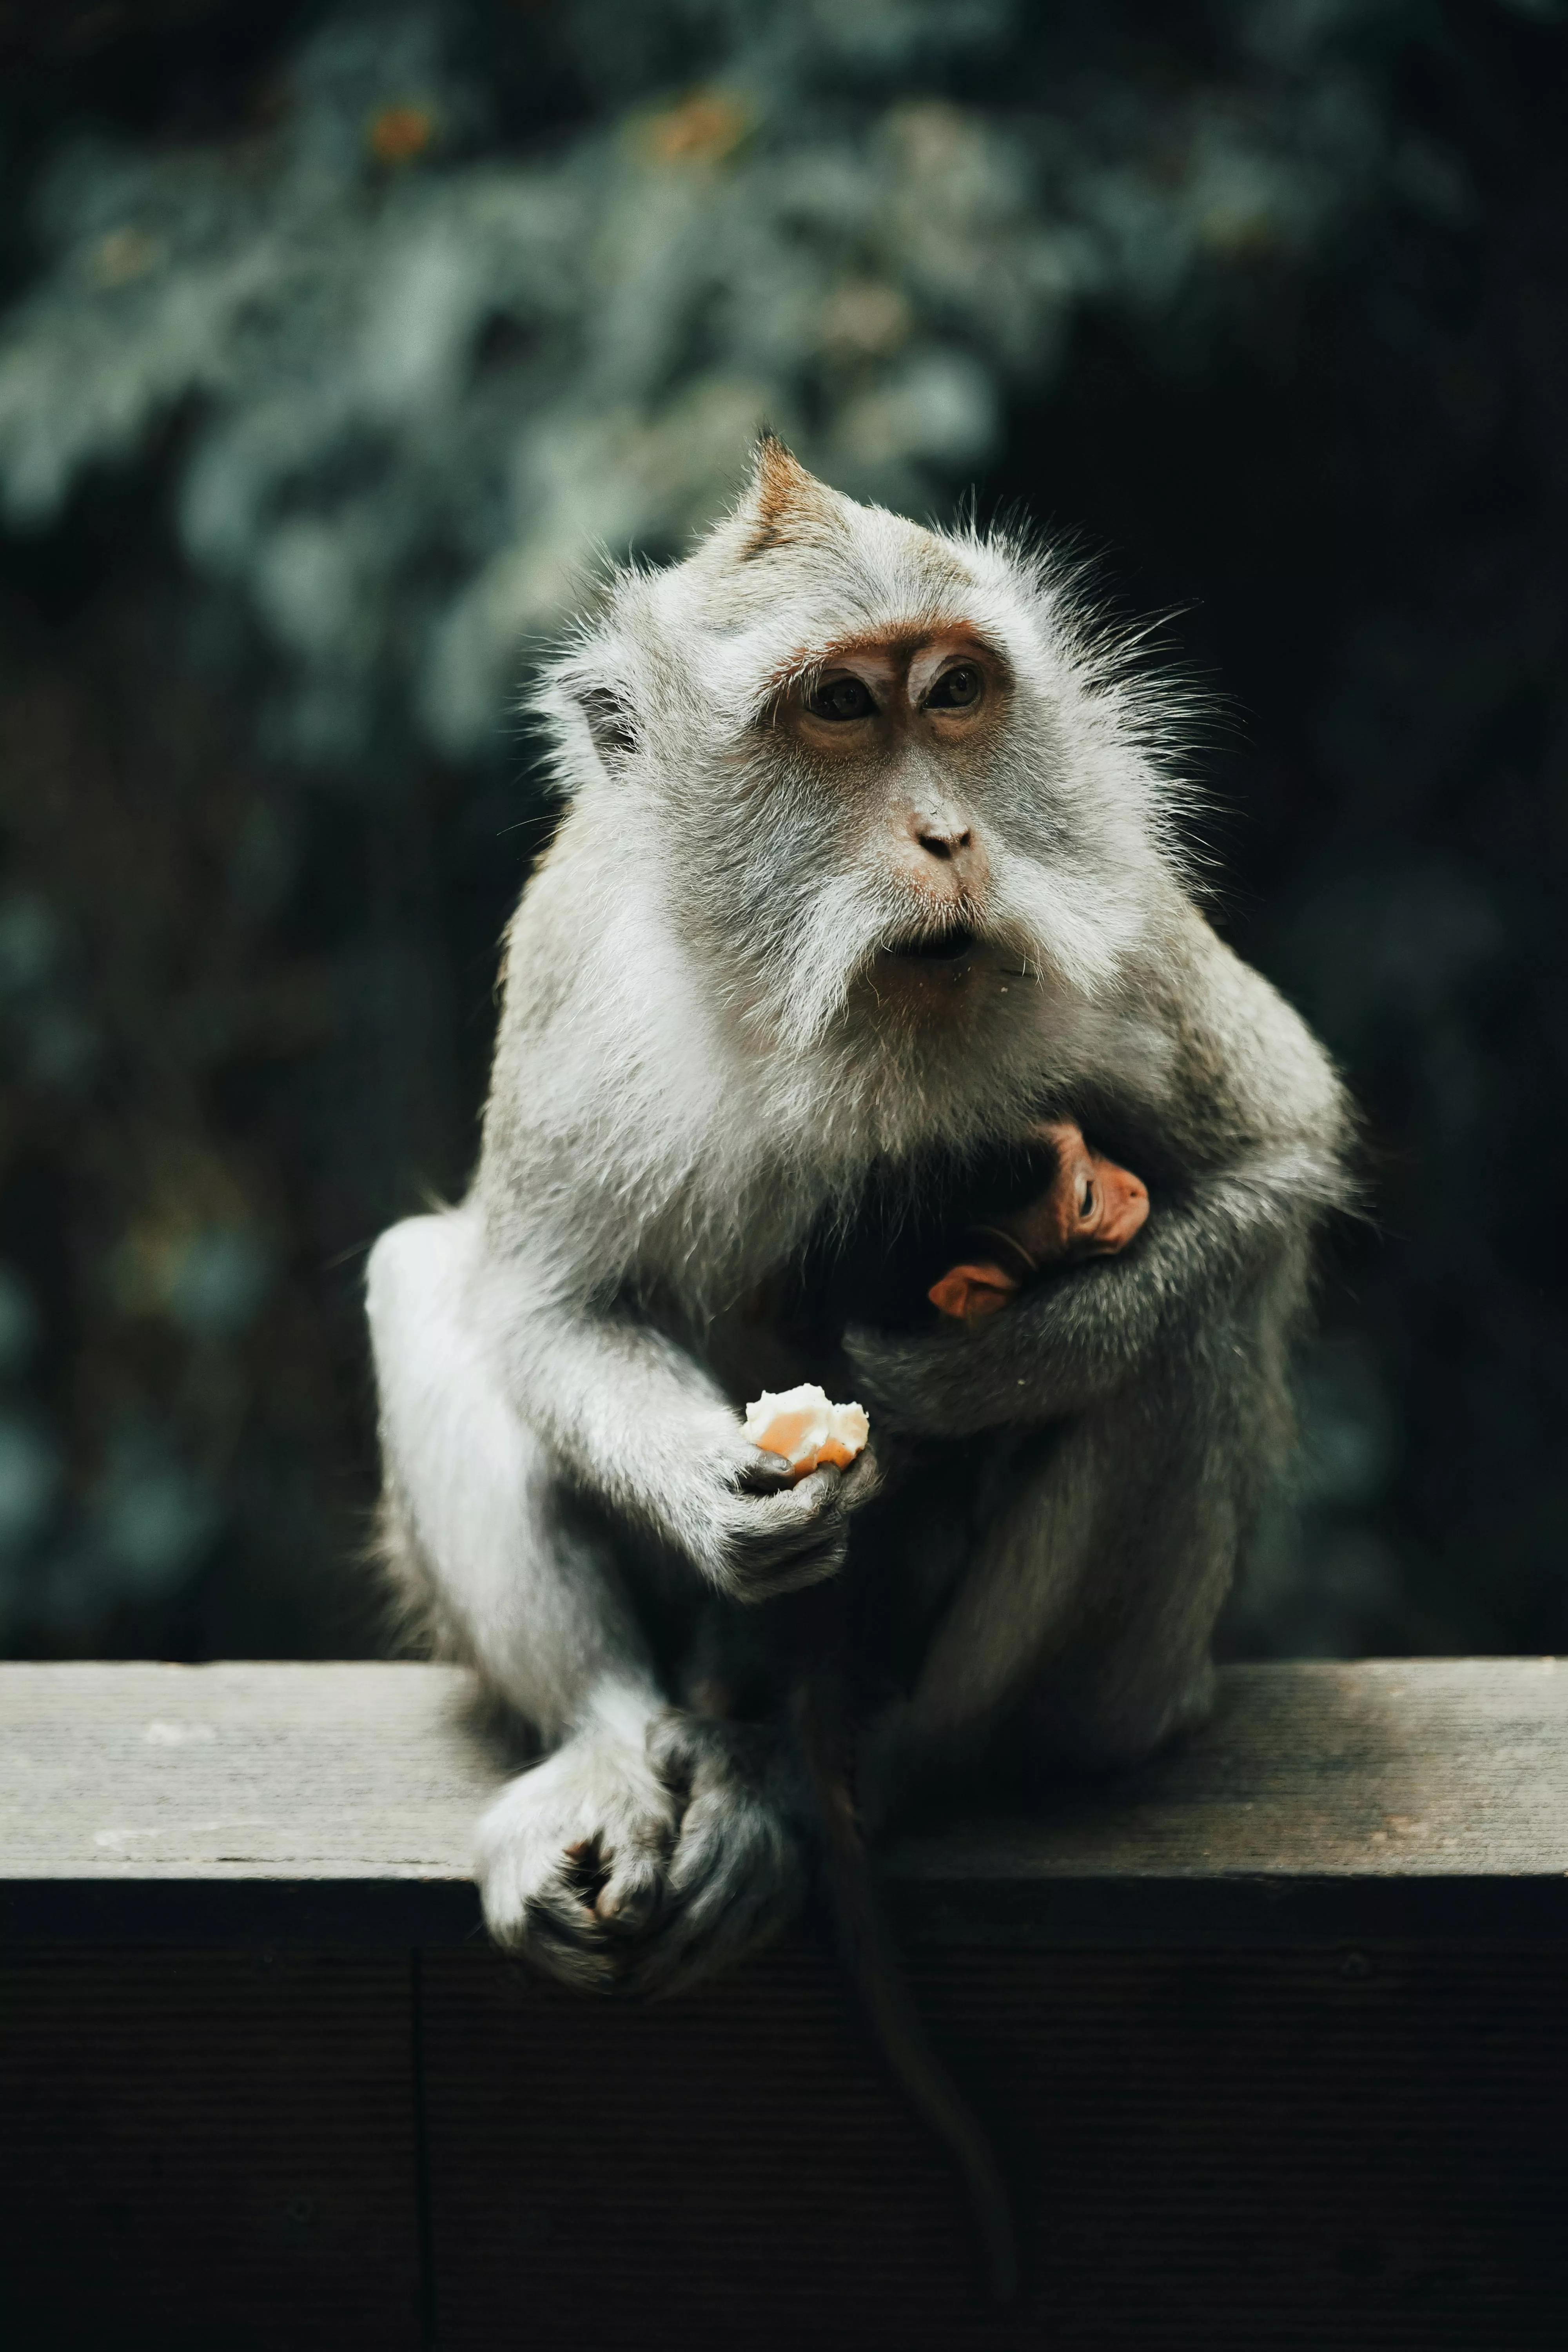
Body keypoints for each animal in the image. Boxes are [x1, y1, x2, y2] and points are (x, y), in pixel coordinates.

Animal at [365, 434, 1348, 2288]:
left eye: (954, 692)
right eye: (837, 707)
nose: (950, 832)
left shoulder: (1115, 912)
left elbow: (1276, 1160)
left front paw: (962, 1382)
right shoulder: (580, 963)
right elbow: (541, 1303)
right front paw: (729, 1493)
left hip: (1114, 1699)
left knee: (1182, 1350)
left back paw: (865, 1767)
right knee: (416, 1279)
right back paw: (614, 1739)